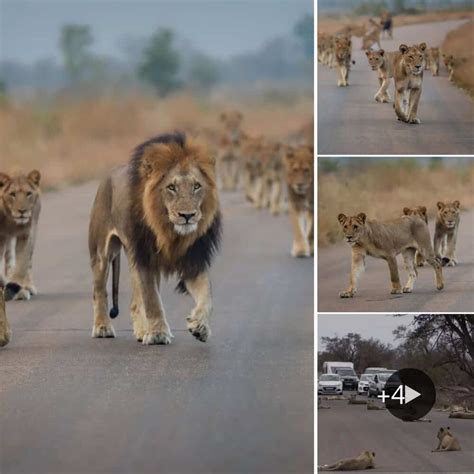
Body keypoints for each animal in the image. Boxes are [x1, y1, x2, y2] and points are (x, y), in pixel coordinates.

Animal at [88, 132, 221, 344]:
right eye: (171, 187)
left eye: (197, 186)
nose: (187, 215)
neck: (171, 234)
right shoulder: (146, 260)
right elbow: (152, 300)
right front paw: (158, 333)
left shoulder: (193, 261)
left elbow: (207, 295)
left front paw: (200, 326)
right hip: (102, 253)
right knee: (99, 290)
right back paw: (102, 327)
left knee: (135, 301)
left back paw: (142, 331)